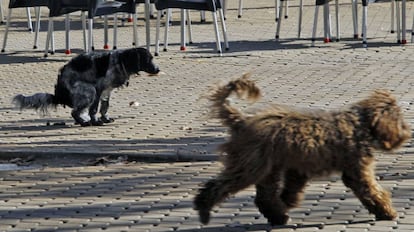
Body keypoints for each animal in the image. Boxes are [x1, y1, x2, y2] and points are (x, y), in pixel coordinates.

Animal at [13, 47, 159, 127]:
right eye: (148, 59)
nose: (158, 69)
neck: (121, 61)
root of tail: (59, 95)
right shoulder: (98, 89)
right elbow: (94, 109)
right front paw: (96, 121)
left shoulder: (107, 91)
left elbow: (105, 107)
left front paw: (105, 118)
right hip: (88, 91)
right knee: (74, 111)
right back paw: (83, 122)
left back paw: (82, 120)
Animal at [194, 74, 410, 225]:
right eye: (399, 119)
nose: (407, 133)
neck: (360, 123)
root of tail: (241, 120)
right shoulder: (357, 170)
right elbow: (372, 191)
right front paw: (387, 212)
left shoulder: (297, 167)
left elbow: (292, 188)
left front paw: (287, 201)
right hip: (250, 165)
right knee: (219, 186)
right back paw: (203, 209)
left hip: (267, 167)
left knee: (264, 197)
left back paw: (278, 216)